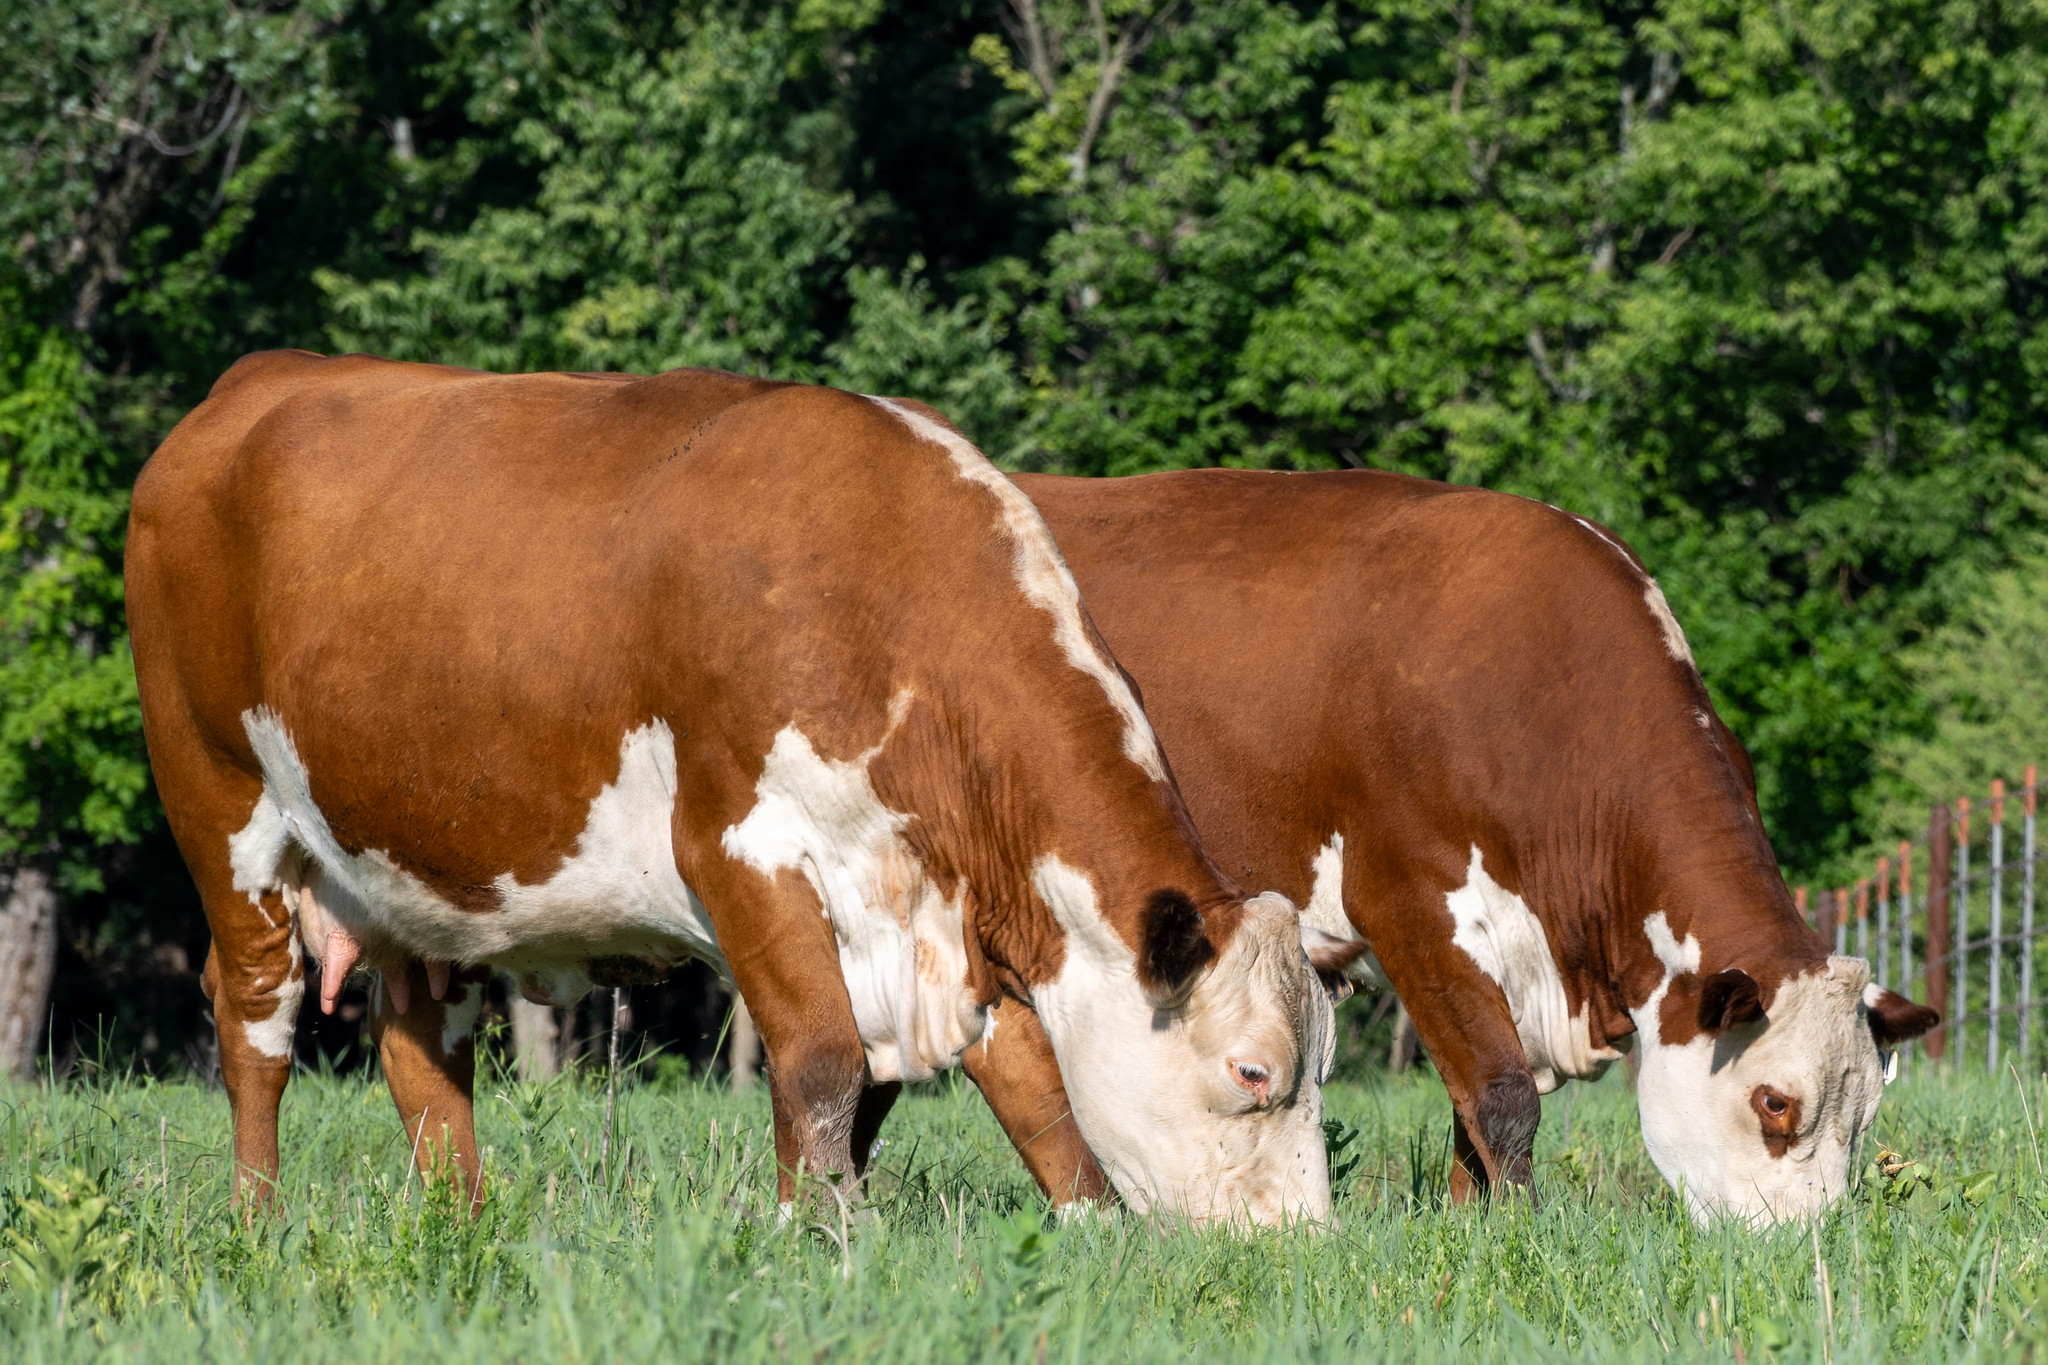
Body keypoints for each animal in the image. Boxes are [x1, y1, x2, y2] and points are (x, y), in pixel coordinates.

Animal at [125, 354, 1351, 1225]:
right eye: (1253, 1071)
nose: (1298, 1247)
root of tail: (252, 382)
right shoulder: (740, 851)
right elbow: (821, 1063)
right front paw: (823, 1234)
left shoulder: (957, 909)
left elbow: (1031, 1080)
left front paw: (1086, 1232)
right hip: (220, 804)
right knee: (256, 1022)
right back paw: (257, 1221)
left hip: (416, 863)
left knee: (423, 1048)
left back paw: (459, 1223)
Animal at [959, 468, 1937, 1225]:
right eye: (1776, 1101)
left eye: (1863, 1117)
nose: (1802, 1244)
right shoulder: (1411, 905)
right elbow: (1501, 1093)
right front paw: (1521, 1232)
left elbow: (1473, 1106)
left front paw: (1473, 1229)